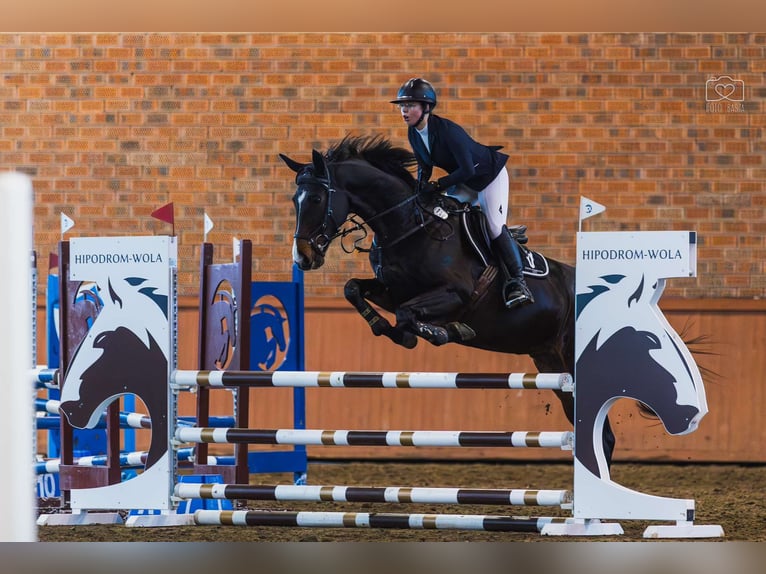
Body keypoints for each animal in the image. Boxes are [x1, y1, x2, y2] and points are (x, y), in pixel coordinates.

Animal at [282, 134, 616, 464]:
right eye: (294, 201)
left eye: (315, 199)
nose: (303, 257)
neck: (408, 226)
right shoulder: (392, 291)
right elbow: (354, 290)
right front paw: (393, 331)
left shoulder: (456, 295)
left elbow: (407, 314)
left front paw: (444, 332)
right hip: (550, 362)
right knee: (601, 435)